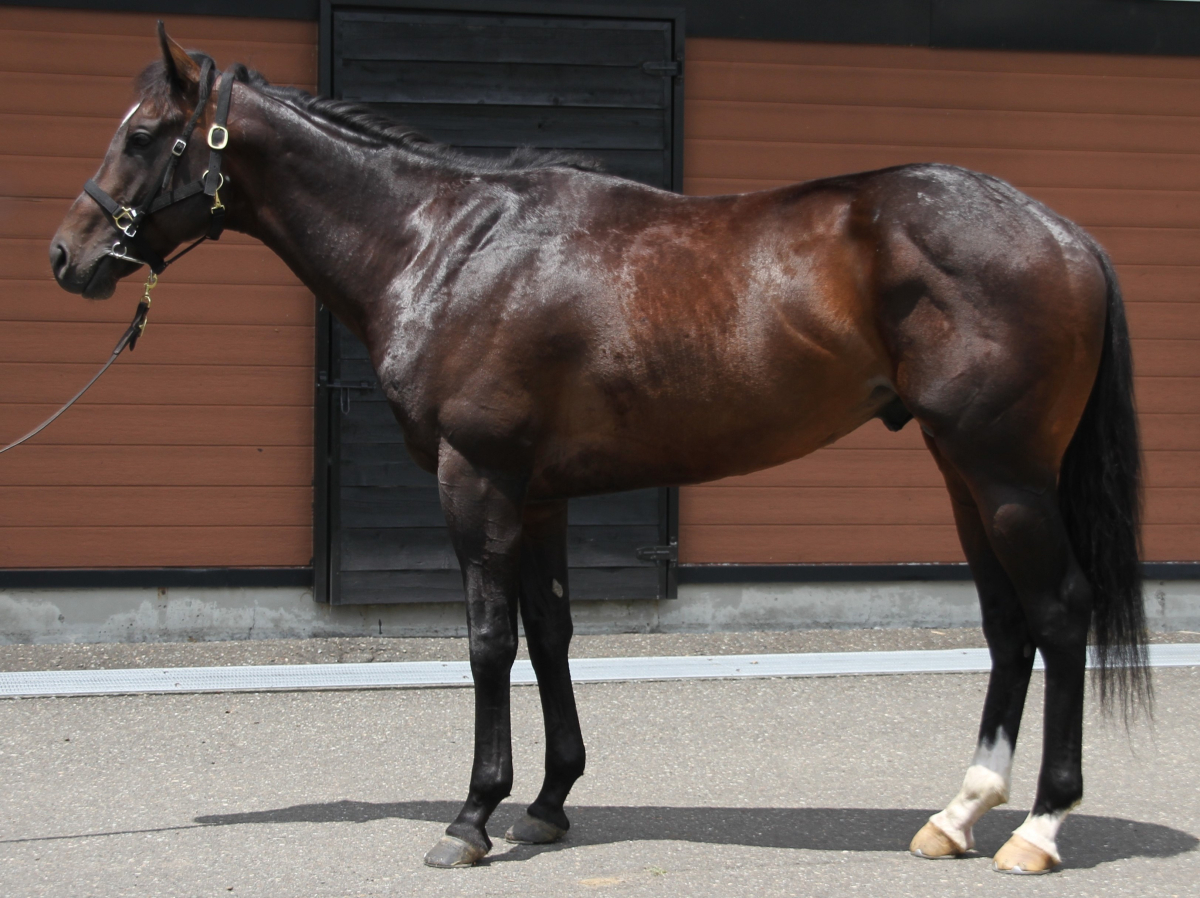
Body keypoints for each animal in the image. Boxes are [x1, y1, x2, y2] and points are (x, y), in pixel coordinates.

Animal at [50, 25, 1149, 873]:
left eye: (142, 136)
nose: (69, 256)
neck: (446, 244)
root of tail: (1068, 236)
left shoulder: (477, 480)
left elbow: (489, 641)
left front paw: (472, 816)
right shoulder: (538, 494)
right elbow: (551, 632)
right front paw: (547, 802)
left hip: (1006, 473)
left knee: (1060, 613)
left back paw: (1039, 828)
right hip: (966, 474)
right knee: (1008, 623)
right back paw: (958, 815)